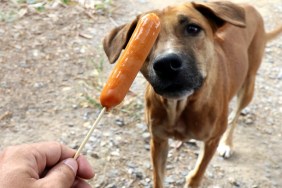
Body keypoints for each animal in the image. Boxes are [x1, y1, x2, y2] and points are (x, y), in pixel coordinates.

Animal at [103, 0, 282, 187]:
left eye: (193, 28)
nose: (166, 64)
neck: (180, 106)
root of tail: (249, 7)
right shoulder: (158, 140)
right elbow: (158, 177)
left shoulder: (211, 141)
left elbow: (196, 175)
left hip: (248, 86)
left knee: (236, 115)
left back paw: (227, 144)